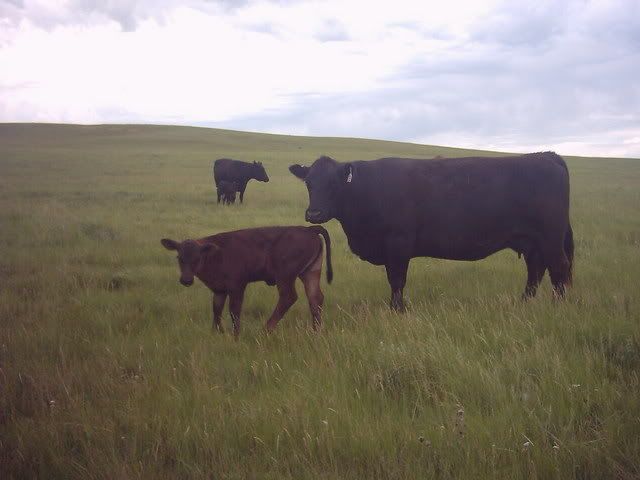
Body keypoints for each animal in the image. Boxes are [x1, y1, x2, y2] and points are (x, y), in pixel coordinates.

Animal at [161, 226, 332, 337]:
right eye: (179, 258)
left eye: (197, 258)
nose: (186, 280)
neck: (216, 254)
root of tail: (308, 229)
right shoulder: (219, 290)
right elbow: (216, 310)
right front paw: (216, 332)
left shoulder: (237, 286)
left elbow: (234, 310)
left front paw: (236, 335)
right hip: (310, 272)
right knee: (315, 297)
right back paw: (316, 331)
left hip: (285, 275)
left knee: (288, 297)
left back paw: (266, 329)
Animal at [289, 152, 573, 311]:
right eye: (309, 183)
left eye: (334, 184)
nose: (314, 214)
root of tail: (545, 155)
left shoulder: (398, 244)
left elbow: (397, 281)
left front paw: (397, 310)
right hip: (532, 241)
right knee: (536, 270)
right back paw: (524, 302)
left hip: (550, 238)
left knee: (559, 268)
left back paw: (559, 306)